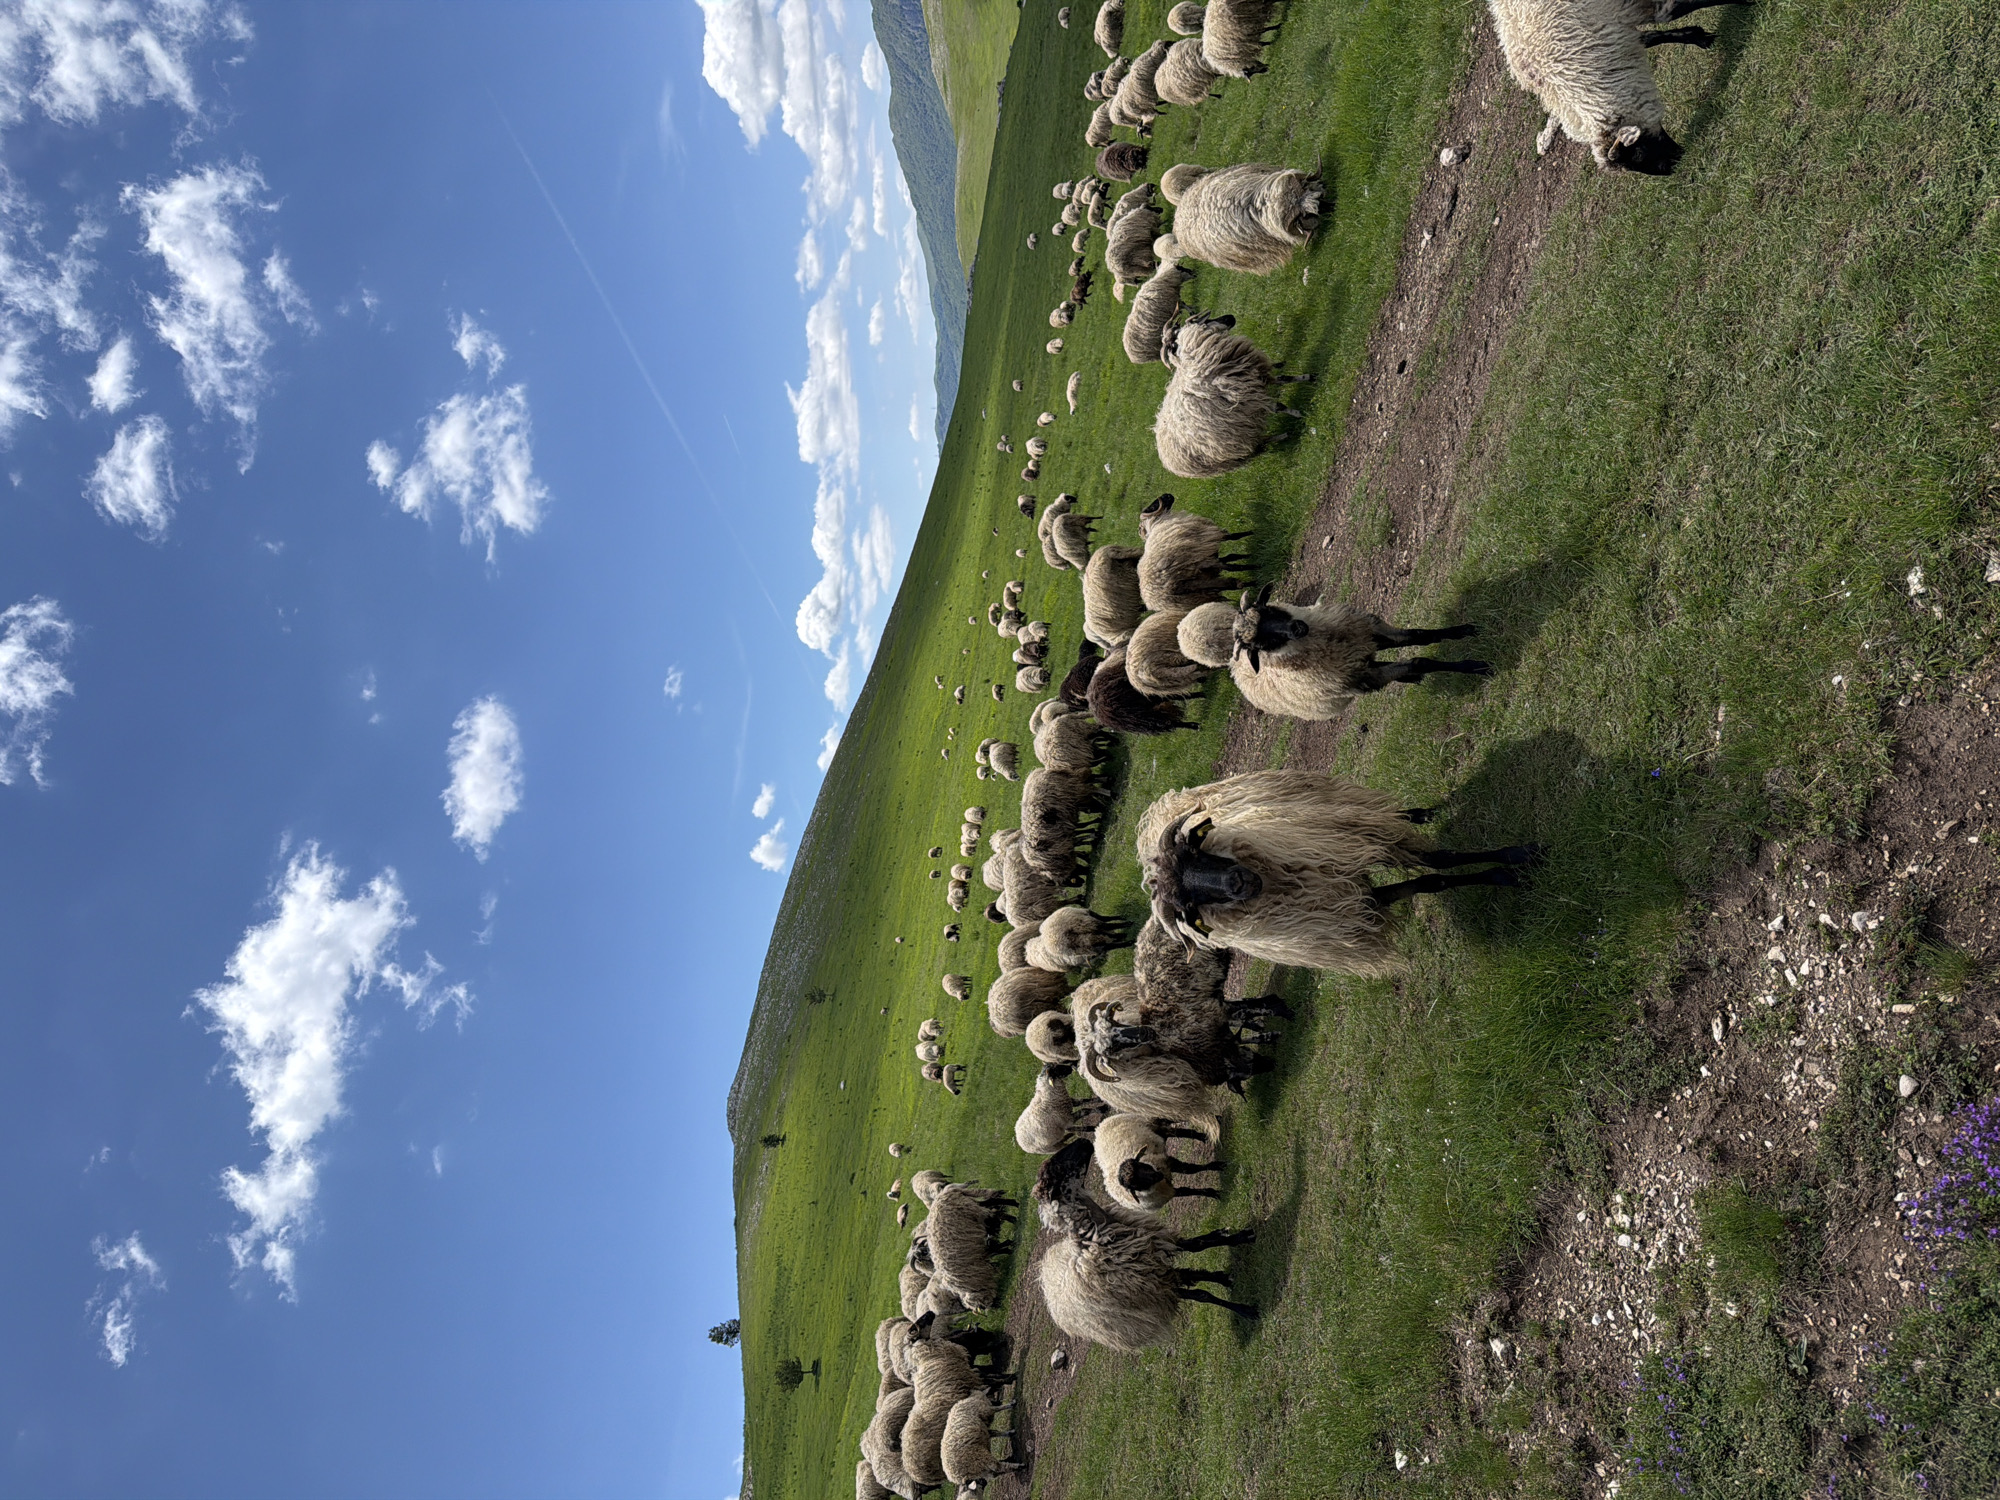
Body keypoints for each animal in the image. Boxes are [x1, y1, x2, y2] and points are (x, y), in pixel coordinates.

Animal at [1032, 1139, 1257, 1351]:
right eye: (1054, 1168)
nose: (1084, 1141)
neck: (1097, 1236)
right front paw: (1244, 1310)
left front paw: (1241, 1238)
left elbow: (1199, 1244)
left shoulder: (1157, 1246)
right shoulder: (1153, 1287)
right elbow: (1202, 1295)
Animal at [1093, 1113, 1227, 1212]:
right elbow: (1187, 1190)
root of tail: (1100, 1126)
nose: (1158, 1175)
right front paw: (1212, 1193)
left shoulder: (1166, 1162)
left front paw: (1217, 1166)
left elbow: (1191, 1169)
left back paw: (1215, 1119)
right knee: (1177, 1130)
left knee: (1177, 1121)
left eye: (1141, 1165)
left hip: (1153, 1121)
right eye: (1135, 1185)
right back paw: (1203, 1135)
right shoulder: (1169, 1192)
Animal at [1137, 770, 1538, 971]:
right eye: (1190, 911)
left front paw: (1516, 855)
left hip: (1338, 805)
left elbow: (1439, 861)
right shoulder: (1359, 897)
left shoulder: (1363, 844)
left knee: (1383, 812)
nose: (1237, 883)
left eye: (1194, 850)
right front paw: (1503, 874)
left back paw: (1423, 812)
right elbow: (1431, 881)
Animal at [1154, 315, 1311, 477]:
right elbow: (1278, 406)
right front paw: (1299, 414)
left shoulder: (1255, 377)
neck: (1198, 366)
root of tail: (1166, 460)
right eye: (1202, 321)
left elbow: (1284, 378)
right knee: (1257, 447)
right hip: (1230, 450)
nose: (1230, 317)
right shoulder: (1247, 400)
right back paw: (1283, 436)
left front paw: (1307, 378)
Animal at [1179, 589, 1490, 719]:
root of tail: (1234, 667)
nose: (1296, 627)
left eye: (1265, 609)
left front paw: (1462, 631)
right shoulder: (1366, 675)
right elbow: (1418, 661)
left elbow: (1419, 636)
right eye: (1260, 645)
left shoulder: (1370, 632)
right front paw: (1474, 666)